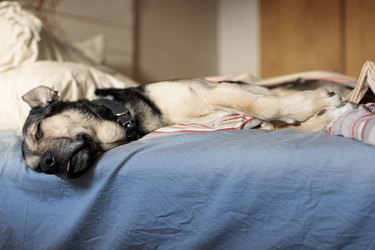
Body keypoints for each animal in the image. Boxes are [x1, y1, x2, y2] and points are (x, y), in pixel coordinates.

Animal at [22, 78, 354, 178]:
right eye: (37, 169)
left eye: (38, 131)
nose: (49, 166)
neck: (126, 114)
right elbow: (278, 120)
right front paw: (323, 113)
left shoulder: (217, 92)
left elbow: (263, 106)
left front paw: (317, 105)